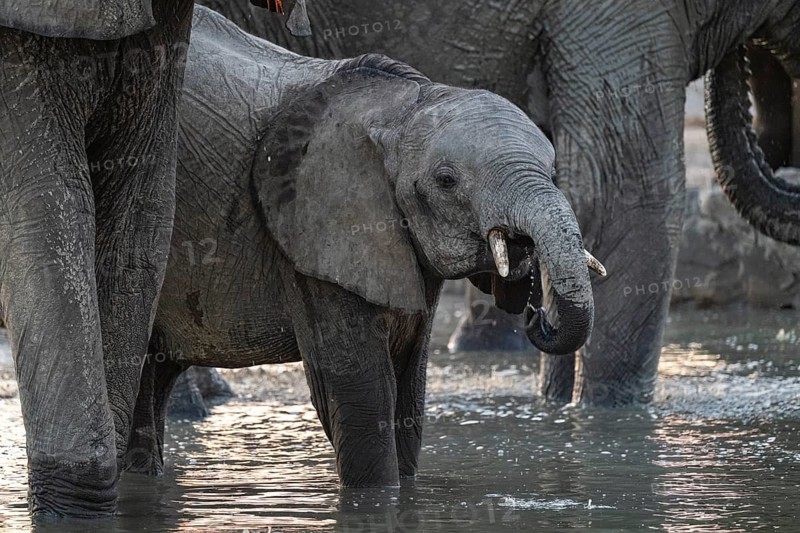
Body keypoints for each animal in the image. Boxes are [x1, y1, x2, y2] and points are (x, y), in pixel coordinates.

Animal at [123, 5, 603, 487]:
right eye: (446, 181)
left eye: (553, 169)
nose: (536, 313)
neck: (402, 106)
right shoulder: (311, 235)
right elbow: (362, 390)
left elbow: (410, 388)